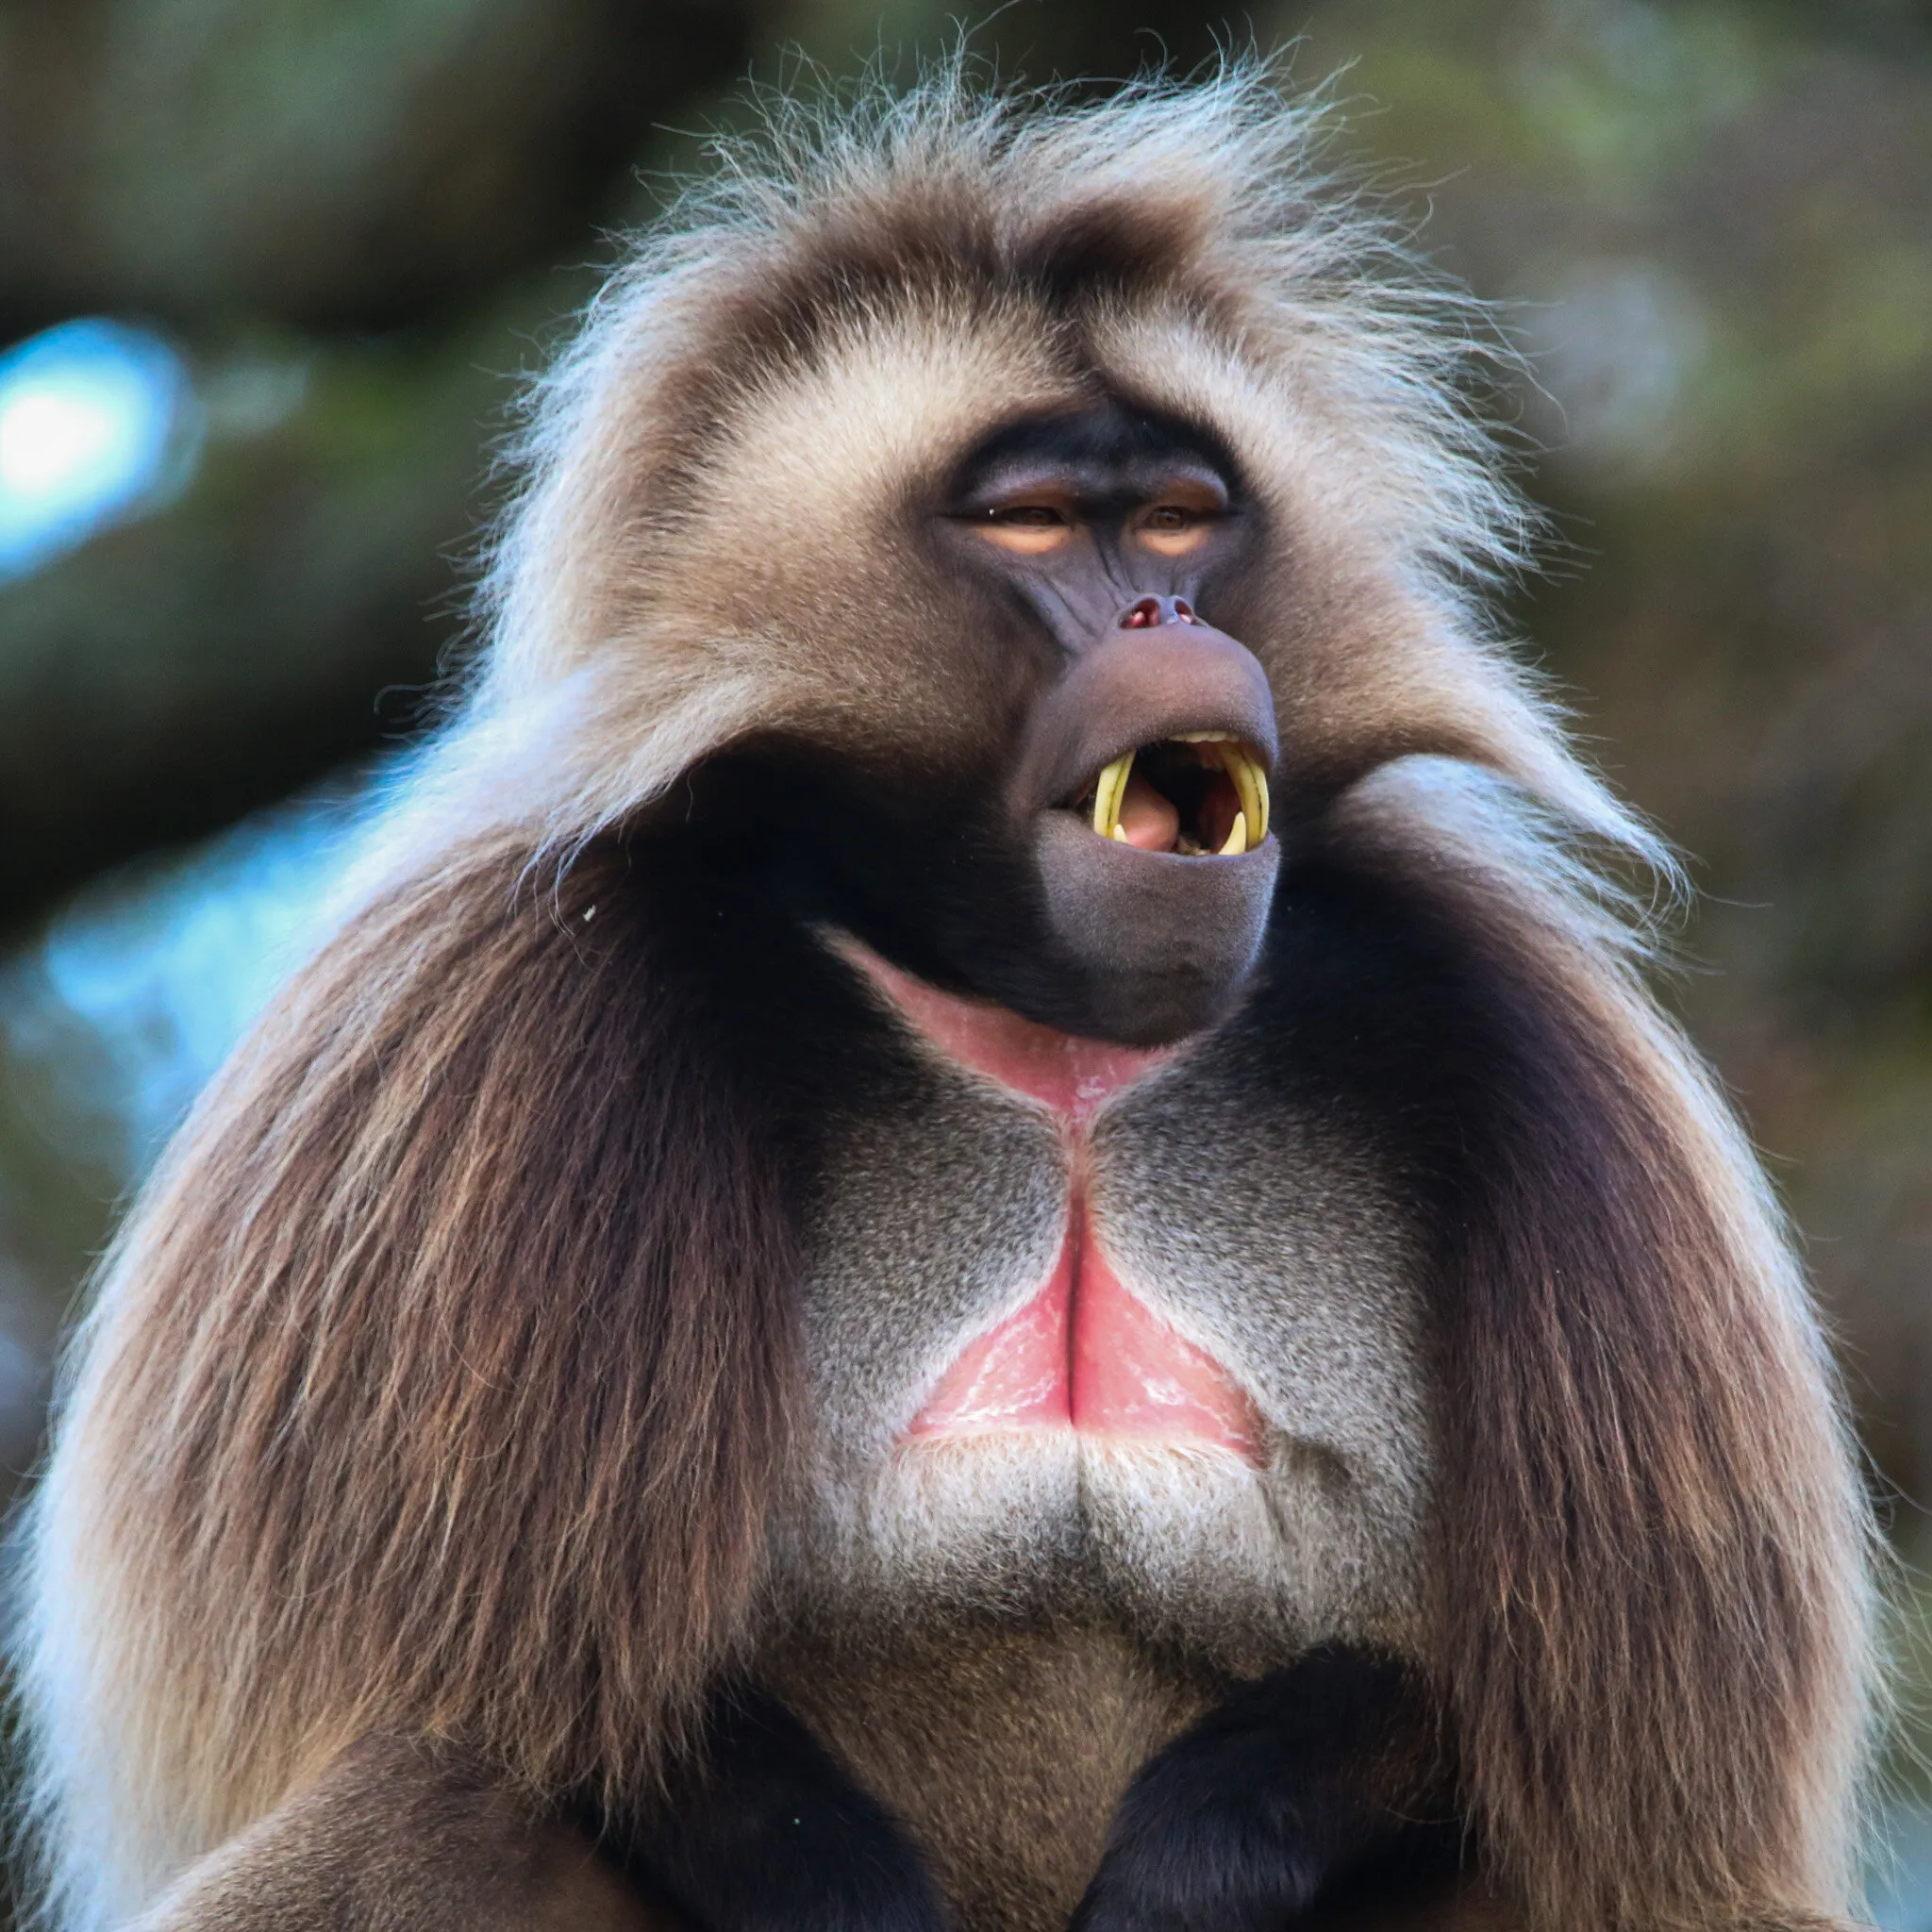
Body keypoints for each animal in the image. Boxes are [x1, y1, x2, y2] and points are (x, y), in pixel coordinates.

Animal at [15, 63, 1877, 1932]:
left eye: (1181, 515)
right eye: (1035, 521)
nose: (1162, 609)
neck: (1049, 1032)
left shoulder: (1550, 1065)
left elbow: (1587, 1765)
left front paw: (1220, 1839)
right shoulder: (488, 1043)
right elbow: (546, 1701)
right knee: (440, 1782)